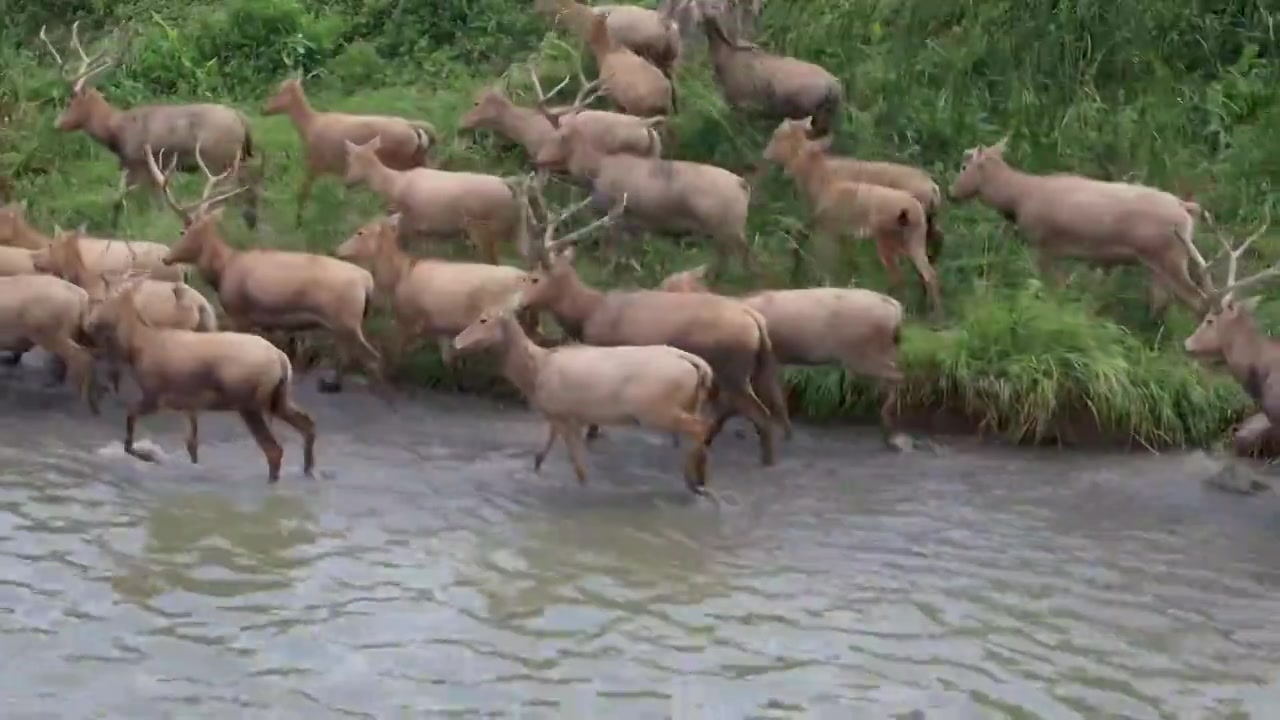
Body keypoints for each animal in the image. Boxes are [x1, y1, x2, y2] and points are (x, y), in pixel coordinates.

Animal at [40, 20, 261, 226]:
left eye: (70, 102)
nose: (57, 124)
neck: (116, 132)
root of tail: (242, 120)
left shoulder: (139, 163)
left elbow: (131, 202)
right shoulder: (145, 169)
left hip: (219, 160)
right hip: (237, 159)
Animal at [143, 143, 386, 394]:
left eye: (187, 232)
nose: (166, 258)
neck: (224, 269)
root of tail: (367, 282)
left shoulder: (239, 311)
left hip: (346, 320)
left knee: (373, 358)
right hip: (345, 323)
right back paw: (331, 383)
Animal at [259, 75, 440, 224]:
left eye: (279, 91)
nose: (263, 109)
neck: (310, 125)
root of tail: (413, 127)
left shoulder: (314, 163)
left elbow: (302, 194)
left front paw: (298, 223)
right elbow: (340, 200)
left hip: (399, 163)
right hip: (418, 160)